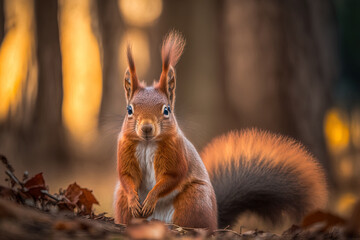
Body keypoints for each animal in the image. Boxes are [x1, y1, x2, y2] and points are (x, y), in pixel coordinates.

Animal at [114, 30, 328, 231]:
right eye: (129, 110)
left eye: (166, 110)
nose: (147, 128)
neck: (148, 143)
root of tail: (216, 220)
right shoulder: (125, 149)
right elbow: (126, 176)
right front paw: (135, 200)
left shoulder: (176, 153)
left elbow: (172, 177)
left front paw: (151, 198)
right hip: (121, 198)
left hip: (194, 200)